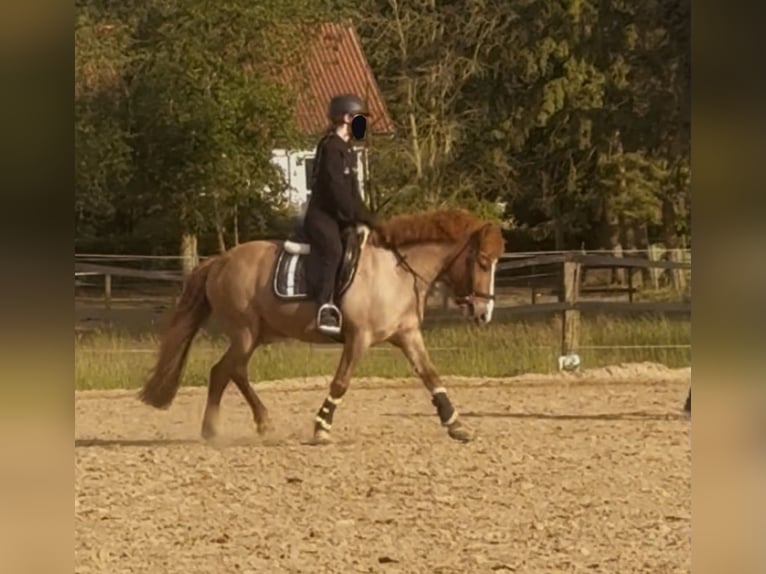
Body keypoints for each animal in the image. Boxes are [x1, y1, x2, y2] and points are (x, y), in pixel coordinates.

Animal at [138, 207, 506, 444]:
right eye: (482, 261)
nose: (484, 312)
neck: (396, 271)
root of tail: (220, 259)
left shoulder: (407, 335)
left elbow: (431, 376)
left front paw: (456, 425)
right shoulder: (359, 338)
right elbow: (341, 382)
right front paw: (321, 428)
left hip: (257, 335)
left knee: (232, 372)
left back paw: (255, 423)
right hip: (245, 333)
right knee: (224, 371)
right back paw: (215, 429)